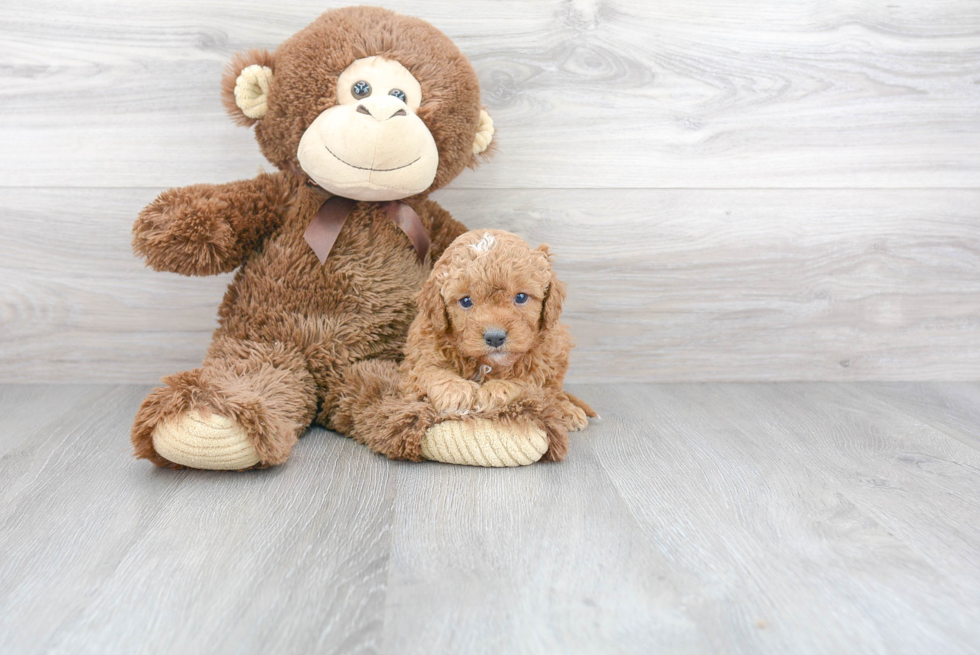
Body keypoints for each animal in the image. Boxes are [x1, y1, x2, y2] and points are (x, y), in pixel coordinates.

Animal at [398, 228, 596, 454]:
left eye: (521, 297)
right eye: (466, 301)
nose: (495, 337)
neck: (486, 364)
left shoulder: (541, 364)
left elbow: (524, 383)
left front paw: (493, 391)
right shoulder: (416, 362)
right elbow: (430, 372)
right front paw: (457, 392)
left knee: (555, 392)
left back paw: (567, 410)